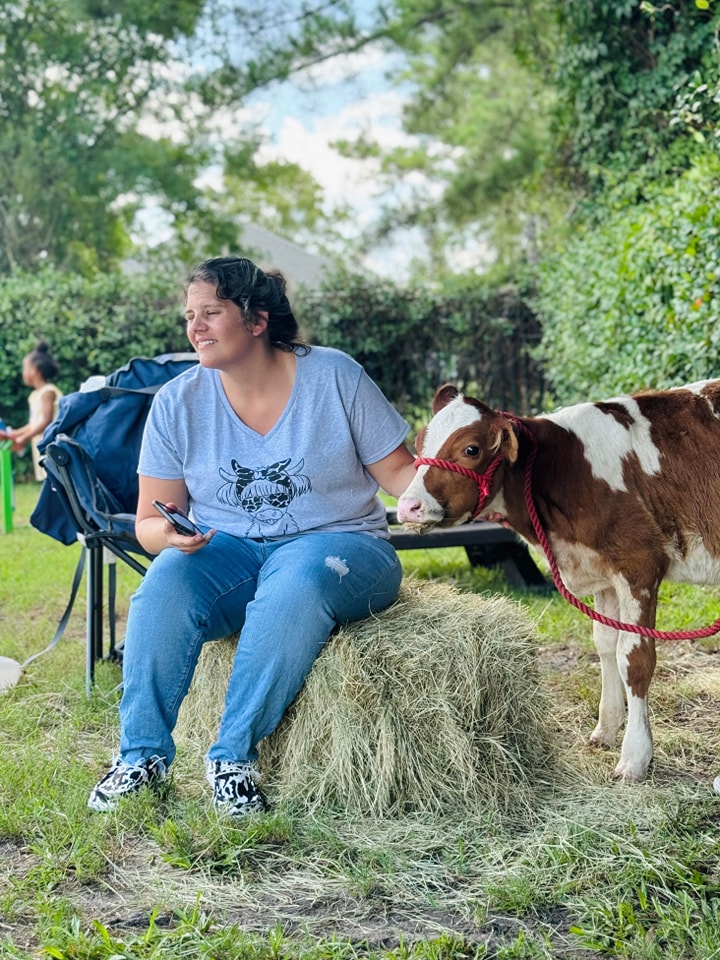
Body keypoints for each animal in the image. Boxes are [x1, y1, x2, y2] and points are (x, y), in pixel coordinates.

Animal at [396, 378, 720, 784]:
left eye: (471, 449)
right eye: (420, 440)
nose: (408, 506)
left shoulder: (639, 564)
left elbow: (634, 657)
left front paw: (634, 757)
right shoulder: (603, 574)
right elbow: (605, 644)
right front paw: (606, 729)